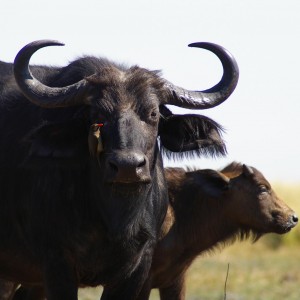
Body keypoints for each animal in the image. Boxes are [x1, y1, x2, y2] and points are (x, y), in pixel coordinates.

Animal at [0, 40, 238, 300]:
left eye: (153, 113)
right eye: (97, 114)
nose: (127, 167)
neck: (114, 219)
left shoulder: (139, 268)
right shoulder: (56, 263)